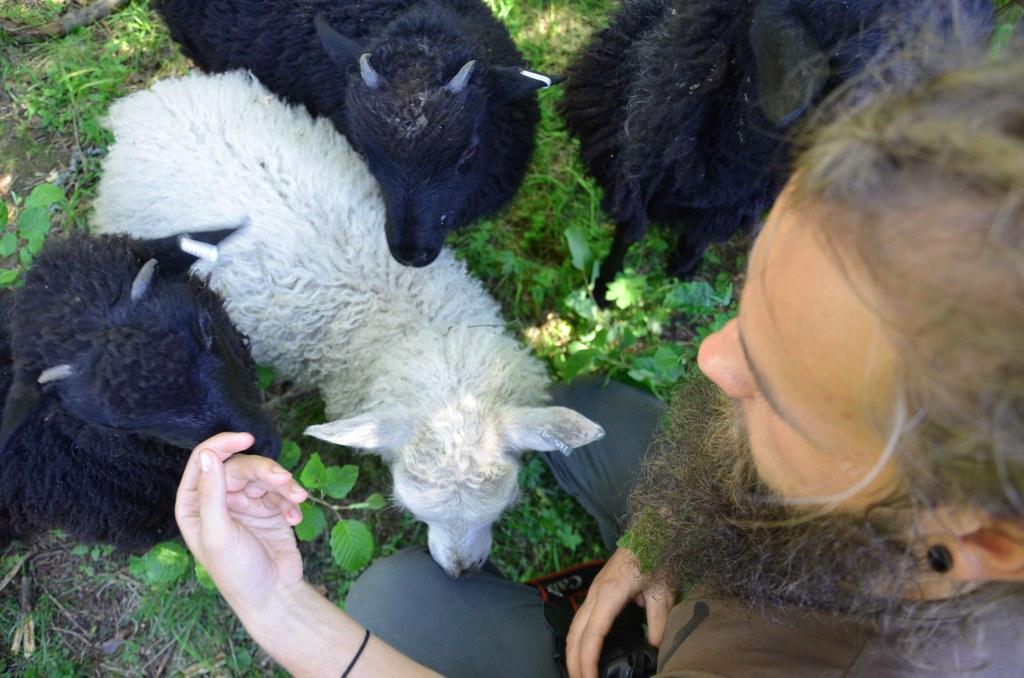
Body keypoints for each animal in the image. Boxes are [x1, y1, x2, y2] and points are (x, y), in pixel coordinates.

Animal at [561, 0, 991, 303]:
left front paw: (680, 272)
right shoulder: (633, 175)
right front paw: (604, 292)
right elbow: (628, 234)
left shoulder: (732, 207)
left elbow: (699, 237)